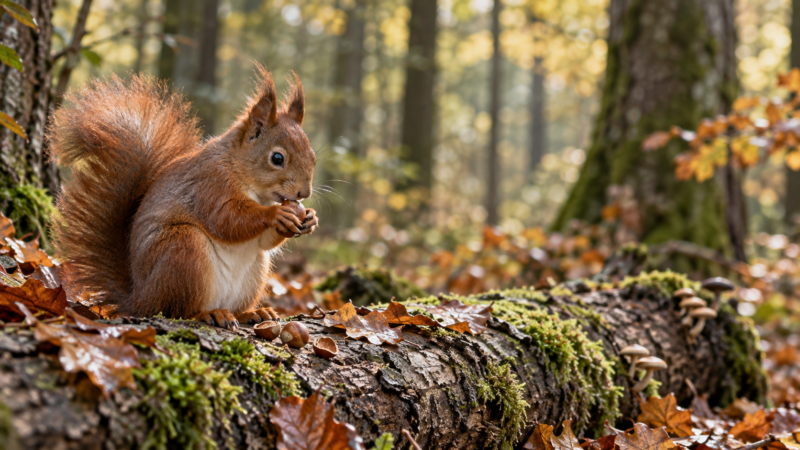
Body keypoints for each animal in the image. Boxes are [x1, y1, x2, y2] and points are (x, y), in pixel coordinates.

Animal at [48, 65, 318, 329]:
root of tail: (139, 299)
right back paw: (209, 314)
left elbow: (262, 241)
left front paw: (310, 218)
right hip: (183, 249)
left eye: (313, 157)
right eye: (277, 158)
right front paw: (277, 213)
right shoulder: (211, 184)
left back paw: (251, 313)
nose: (304, 193)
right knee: (178, 311)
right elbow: (226, 219)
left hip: (253, 273)